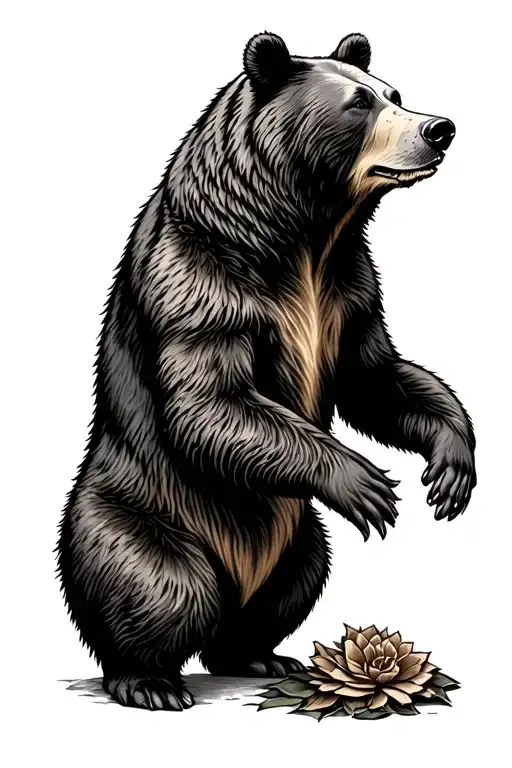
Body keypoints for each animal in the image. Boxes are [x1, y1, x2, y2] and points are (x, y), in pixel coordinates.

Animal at [57, 31, 476, 711]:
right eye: (360, 104)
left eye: (395, 92)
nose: (439, 128)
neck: (299, 235)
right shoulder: (199, 279)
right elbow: (211, 400)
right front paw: (367, 484)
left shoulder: (348, 290)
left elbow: (375, 375)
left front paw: (451, 469)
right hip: (135, 511)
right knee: (161, 584)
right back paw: (148, 678)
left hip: (296, 531)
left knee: (297, 579)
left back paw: (259, 654)